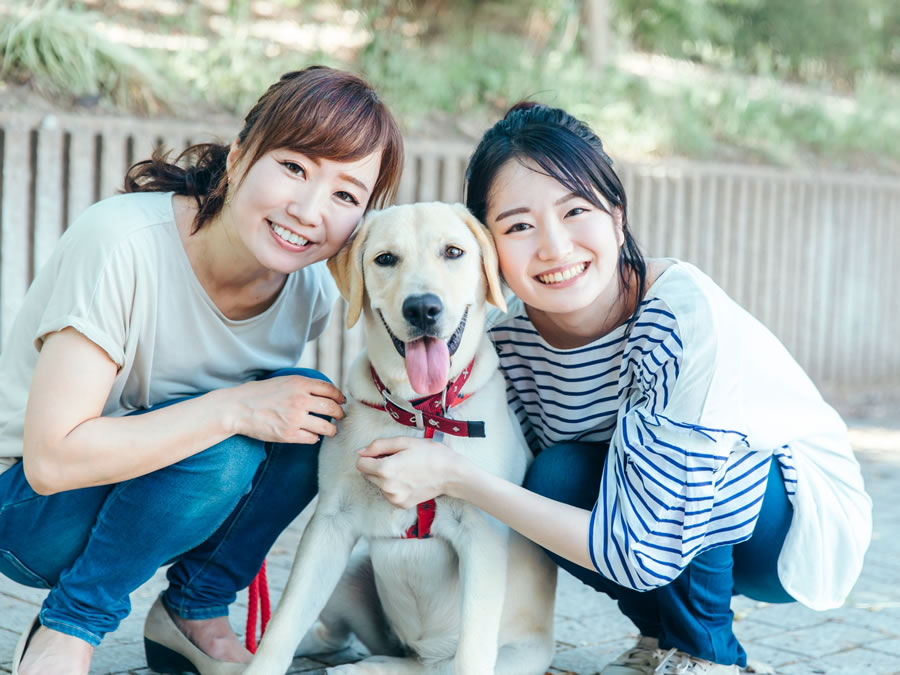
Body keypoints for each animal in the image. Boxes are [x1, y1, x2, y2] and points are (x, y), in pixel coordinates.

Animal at [244, 203, 556, 675]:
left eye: (453, 252)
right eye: (386, 259)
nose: (422, 308)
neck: (418, 411)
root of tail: (414, 650)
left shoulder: (482, 536)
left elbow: (472, 654)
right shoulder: (329, 523)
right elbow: (282, 628)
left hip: (513, 657)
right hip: (351, 573)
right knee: (330, 636)